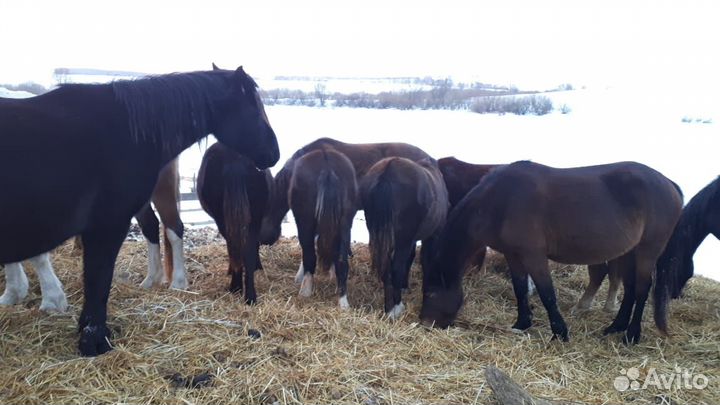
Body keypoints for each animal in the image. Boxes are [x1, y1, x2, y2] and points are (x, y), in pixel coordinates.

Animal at [197, 142, 272, 304]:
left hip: (224, 219)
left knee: (236, 247)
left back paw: (236, 287)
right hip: (252, 218)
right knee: (245, 250)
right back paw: (249, 295)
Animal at [361, 156, 448, 319]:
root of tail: (388, 170)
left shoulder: (411, 240)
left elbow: (411, 257)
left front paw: (404, 285)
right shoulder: (433, 236)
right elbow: (426, 260)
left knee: (387, 269)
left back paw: (389, 308)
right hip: (403, 240)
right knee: (396, 268)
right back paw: (396, 307)